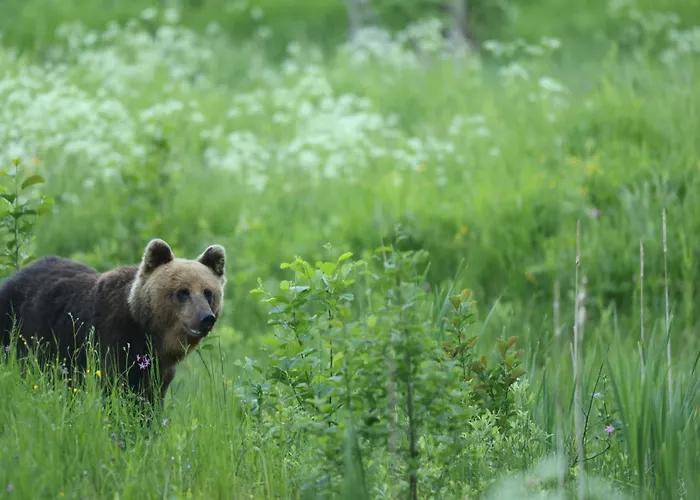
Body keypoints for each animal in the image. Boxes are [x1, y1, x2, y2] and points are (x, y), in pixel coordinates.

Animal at [0, 238, 226, 406]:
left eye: (208, 292)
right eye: (183, 292)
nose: (206, 318)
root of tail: (16, 274)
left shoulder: (159, 370)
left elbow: (151, 399)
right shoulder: (113, 339)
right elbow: (118, 388)